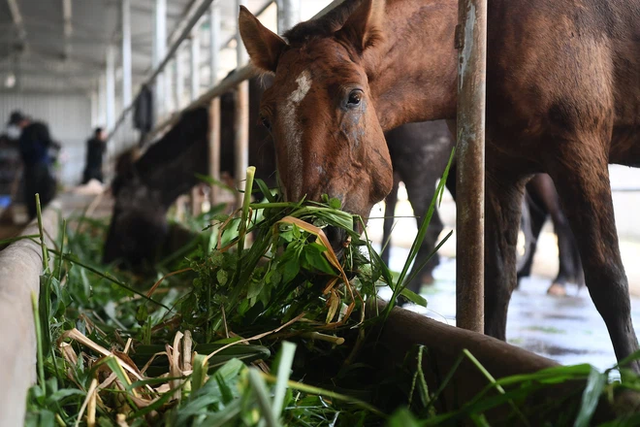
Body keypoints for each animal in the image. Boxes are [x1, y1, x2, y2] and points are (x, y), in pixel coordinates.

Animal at [240, 0, 640, 370]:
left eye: (354, 96)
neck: (497, 32)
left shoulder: (579, 152)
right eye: (265, 118)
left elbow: (611, 286)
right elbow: (497, 281)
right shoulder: (499, 172)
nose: (313, 235)